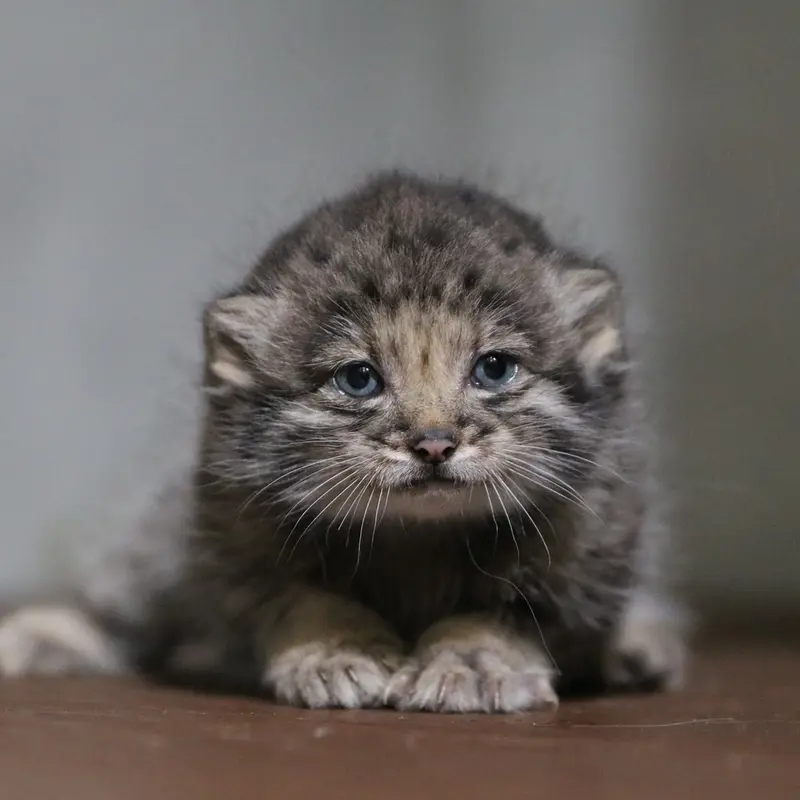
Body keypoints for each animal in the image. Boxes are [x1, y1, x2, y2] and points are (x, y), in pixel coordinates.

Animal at [1, 173, 688, 712]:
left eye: (494, 368)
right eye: (359, 379)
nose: (433, 443)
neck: (419, 541)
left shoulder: (594, 535)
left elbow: (511, 608)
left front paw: (469, 661)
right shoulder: (233, 523)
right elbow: (302, 597)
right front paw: (335, 650)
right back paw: (48, 636)